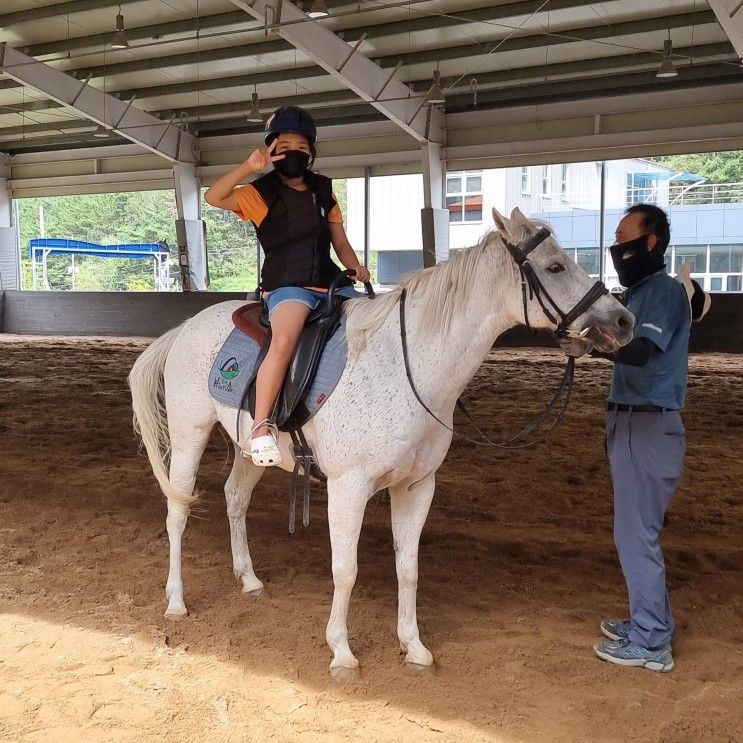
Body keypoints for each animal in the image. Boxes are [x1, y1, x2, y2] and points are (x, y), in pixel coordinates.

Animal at [128, 208, 632, 680]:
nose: (623, 319)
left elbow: (407, 568)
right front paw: (341, 652)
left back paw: (248, 579)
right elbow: (345, 569)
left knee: (234, 498)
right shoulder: (348, 489)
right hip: (189, 436)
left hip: (250, 448)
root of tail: (185, 328)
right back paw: (176, 601)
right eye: (555, 267)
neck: (408, 368)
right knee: (178, 511)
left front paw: (414, 646)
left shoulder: (416, 486)